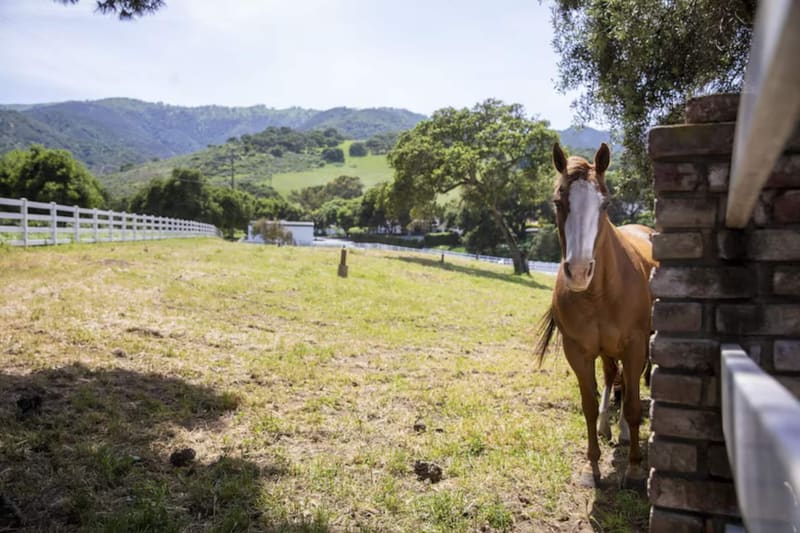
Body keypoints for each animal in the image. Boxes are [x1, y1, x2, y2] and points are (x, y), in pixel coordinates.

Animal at [536, 142, 657, 488]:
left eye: (605, 203)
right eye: (558, 201)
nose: (578, 271)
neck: (599, 293)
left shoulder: (635, 346)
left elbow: (633, 406)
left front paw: (633, 469)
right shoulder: (578, 350)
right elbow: (588, 405)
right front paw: (592, 467)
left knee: (627, 385)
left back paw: (626, 433)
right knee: (611, 376)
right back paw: (607, 426)